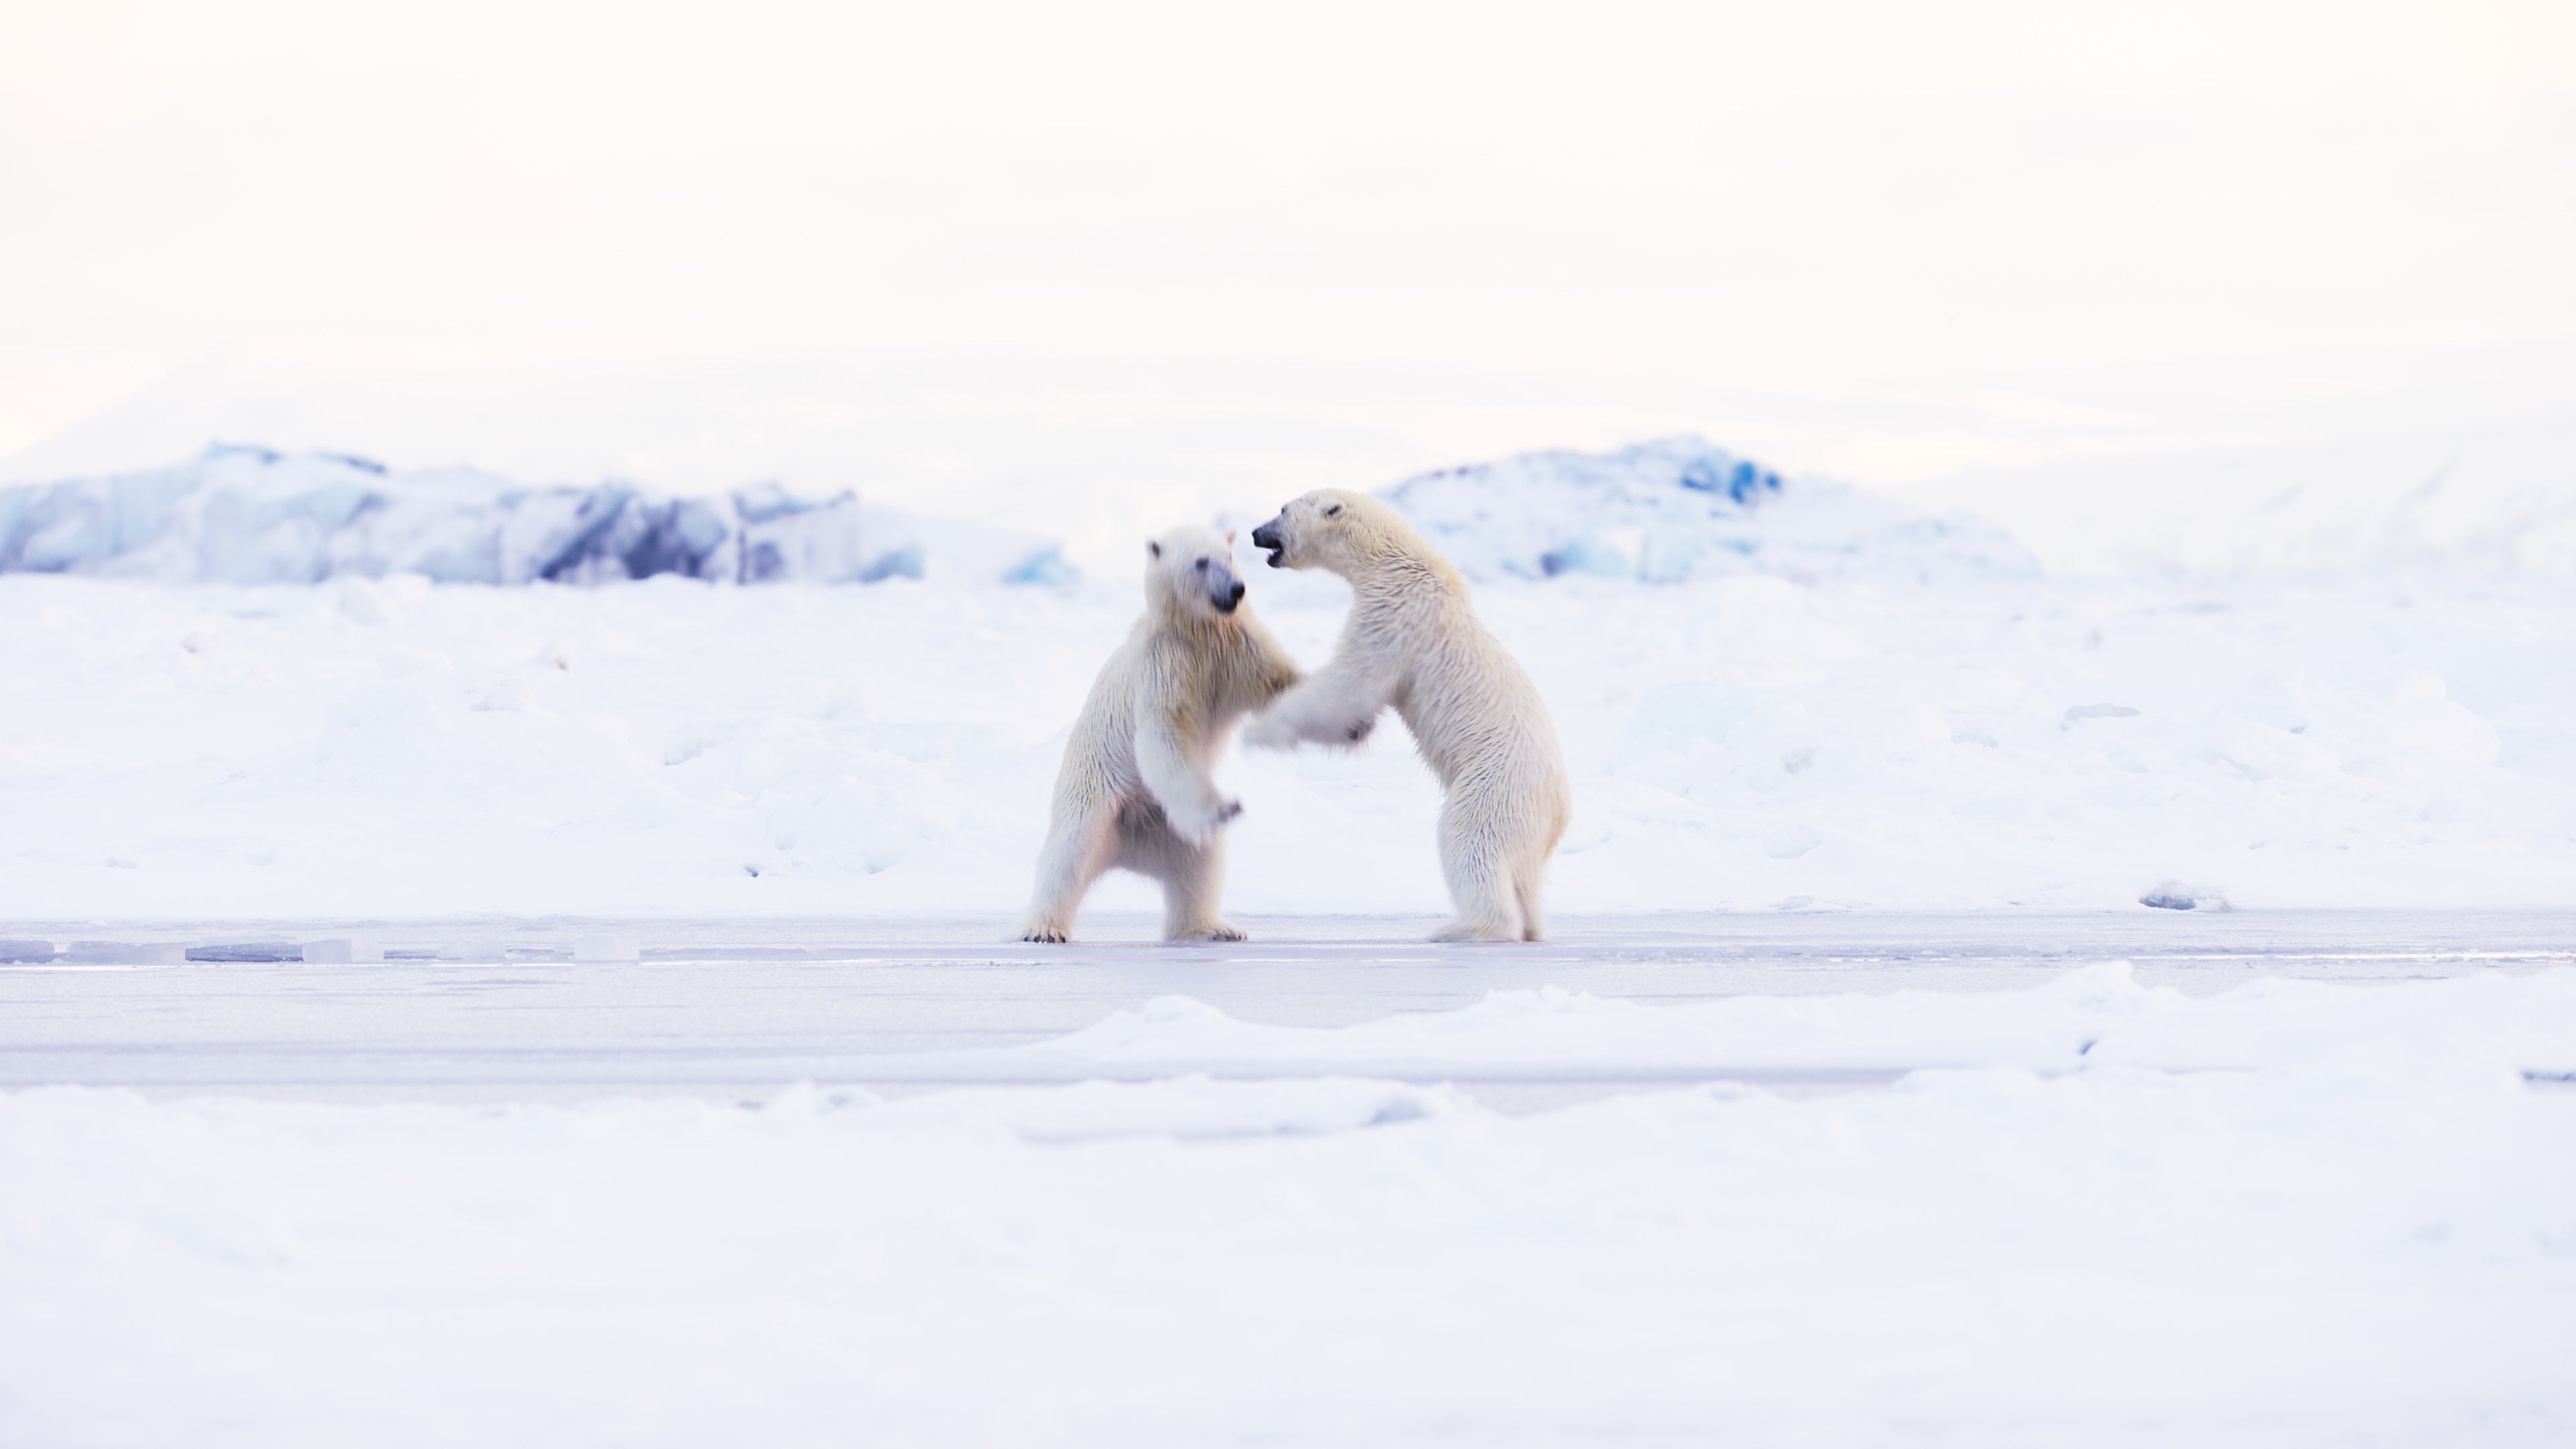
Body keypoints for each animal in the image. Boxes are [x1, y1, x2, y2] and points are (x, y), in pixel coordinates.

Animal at [1014, 523, 1298, 943]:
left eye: (1229, 556)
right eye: (1201, 562)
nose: (1236, 590)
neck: (1197, 631)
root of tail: (1131, 849)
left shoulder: (1238, 650)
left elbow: (1283, 685)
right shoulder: (1164, 665)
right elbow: (1164, 739)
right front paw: (1225, 806)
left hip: (1171, 829)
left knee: (1202, 864)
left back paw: (1214, 928)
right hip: (1096, 797)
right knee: (1067, 856)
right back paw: (1043, 929)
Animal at [1241, 487, 1566, 938]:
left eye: (1284, 509)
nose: (1256, 533)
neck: (1396, 565)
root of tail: (1559, 812)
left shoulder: (1393, 617)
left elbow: (1349, 685)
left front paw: (1259, 732)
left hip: (1495, 788)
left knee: (1470, 841)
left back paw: (1464, 928)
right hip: (1527, 826)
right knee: (1524, 876)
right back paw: (1529, 926)